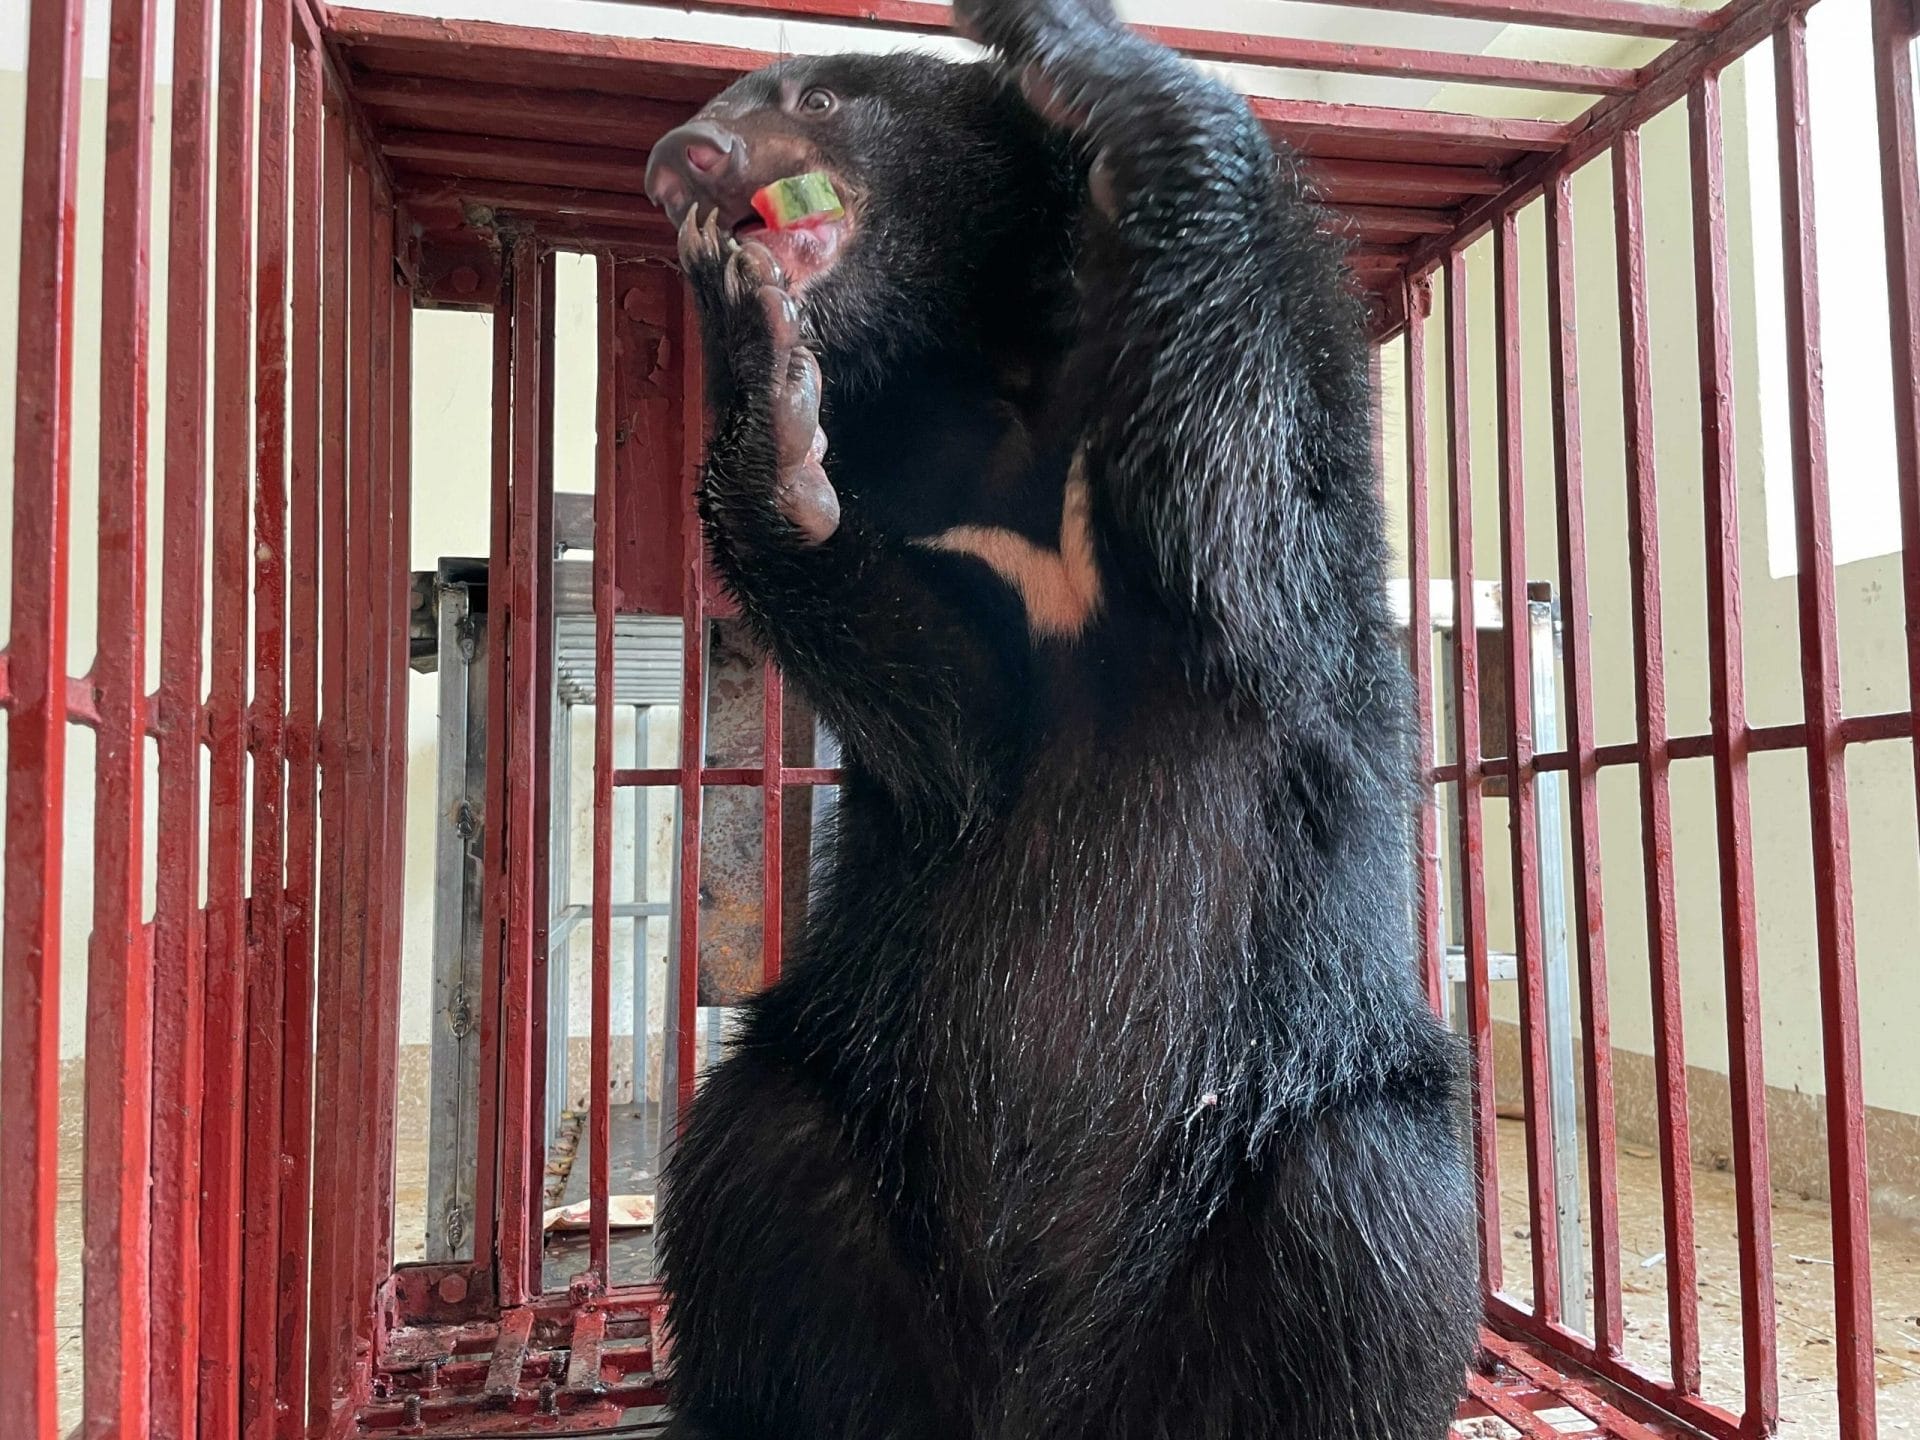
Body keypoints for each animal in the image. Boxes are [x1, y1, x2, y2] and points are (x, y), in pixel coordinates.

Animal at [639, 0, 1483, 1433]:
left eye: (813, 96)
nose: (680, 159)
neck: (999, 374)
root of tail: (1041, 1400)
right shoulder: (940, 536)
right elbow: (952, 730)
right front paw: (771, 408)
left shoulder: (1285, 446)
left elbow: (1251, 532)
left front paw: (1080, 65)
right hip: (842, 1093)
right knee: (749, 1168)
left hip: (1307, 1103)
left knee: (1367, 1221)